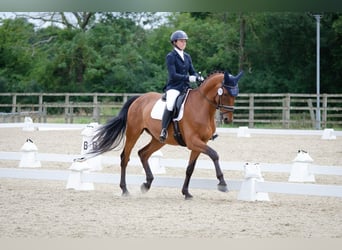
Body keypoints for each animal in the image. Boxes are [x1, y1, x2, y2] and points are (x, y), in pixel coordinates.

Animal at [89, 70, 243, 199]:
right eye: (226, 93)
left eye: (235, 95)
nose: (228, 119)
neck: (202, 107)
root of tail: (139, 98)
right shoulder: (193, 142)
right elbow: (214, 154)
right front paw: (222, 183)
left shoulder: (200, 143)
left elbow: (190, 168)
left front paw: (186, 193)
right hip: (133, 133)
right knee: (125, 158)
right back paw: (125, 190)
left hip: (158, 140)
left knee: (143, 153)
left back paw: (146, 184)